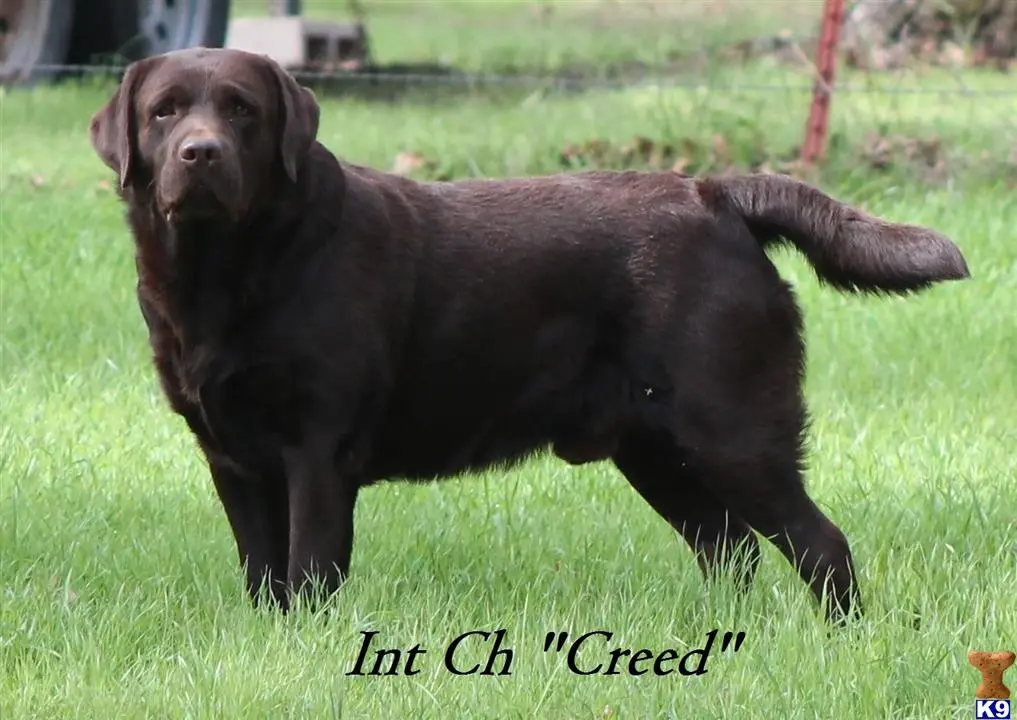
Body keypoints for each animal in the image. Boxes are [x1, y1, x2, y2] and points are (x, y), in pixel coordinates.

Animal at [89, 46, 968, 618]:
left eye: (242, 110)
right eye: (165, 112)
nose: (200, 153)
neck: (230, 270)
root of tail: (715, 193)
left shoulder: (317, 449)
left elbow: (307, 573)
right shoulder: (230, 456)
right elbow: (263, 575)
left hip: (730, 430)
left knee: (819, 544)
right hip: (654, 448)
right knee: (730, 549)